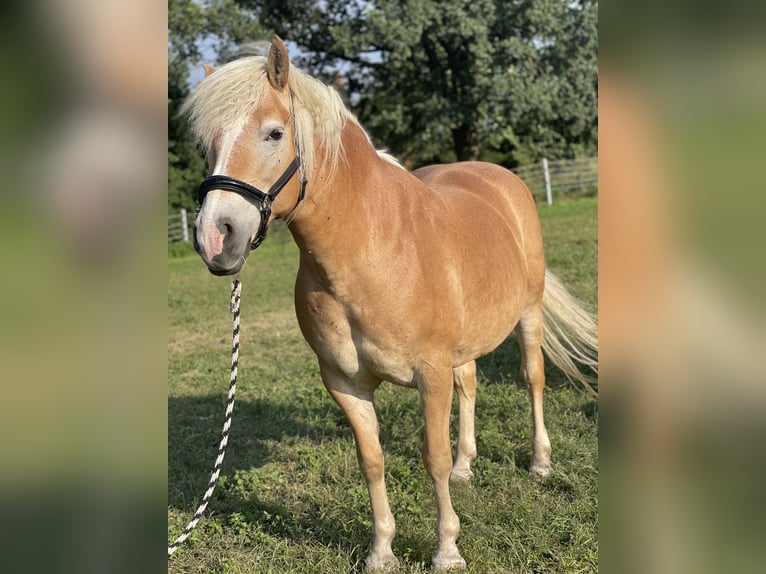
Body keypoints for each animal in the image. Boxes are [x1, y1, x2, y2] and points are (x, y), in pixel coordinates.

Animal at [188, 38, 600, 572]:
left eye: (274, 133)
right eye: (208, 145)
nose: (215, 238)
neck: (371, 248)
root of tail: (501, 179)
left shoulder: (430, 373)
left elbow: (433, 458)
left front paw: (447, 550)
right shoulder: (345, 383)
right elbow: (372, 461)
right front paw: (381, 551)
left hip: (528, 314)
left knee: (533, 379)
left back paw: (540, 462)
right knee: (469, 386)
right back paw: (468, 465)